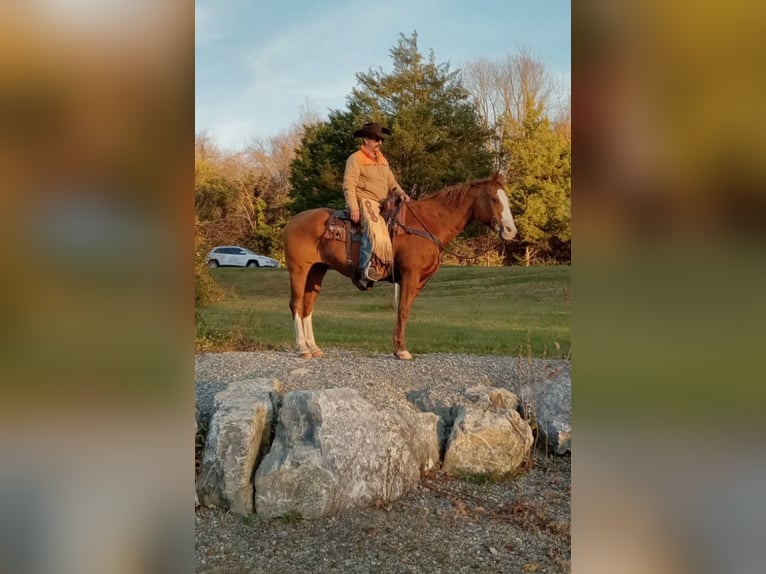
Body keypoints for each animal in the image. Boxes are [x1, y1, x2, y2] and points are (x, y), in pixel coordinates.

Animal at [282, 171, 517, 360]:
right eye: (494, 198)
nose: (511, 231)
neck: (427, 225)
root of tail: (291, 222)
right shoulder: (409, 274)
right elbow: (403, 310)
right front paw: (402, 350)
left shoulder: (419, 280)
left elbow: (405, 309)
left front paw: (398, 347)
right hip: (298, 270)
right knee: (296, 304)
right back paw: (303, 348)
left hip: (316, 271)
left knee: (308, 306)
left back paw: (314, 348)